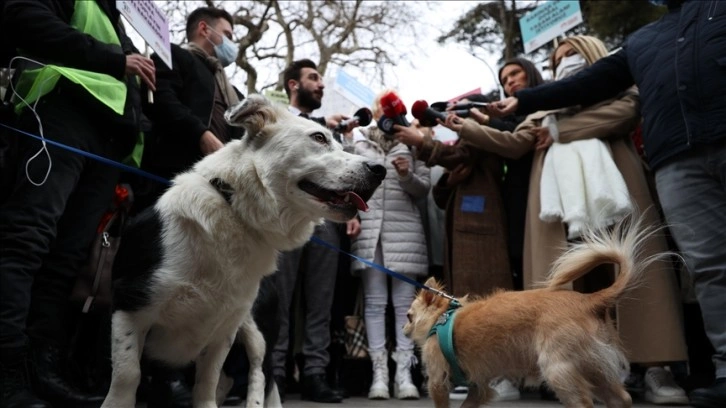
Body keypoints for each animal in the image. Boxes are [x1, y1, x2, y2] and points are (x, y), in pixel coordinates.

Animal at [103, 95, 390, 408]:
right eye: (318, 137)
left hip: (257, 326)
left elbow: (208, 382)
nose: (380, 170)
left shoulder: (224, 329)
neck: (235, 210)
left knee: (259, 373)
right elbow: (128, 375)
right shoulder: (130, 305)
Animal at [406, 215, 664, 406]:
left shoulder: (438, 381)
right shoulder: (478, 387)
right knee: (622, 398)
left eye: (408, 316)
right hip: (595, 367)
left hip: (558, 369)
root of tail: (590, 300)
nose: (404, 329)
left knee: (585, 402)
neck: (441, 318)